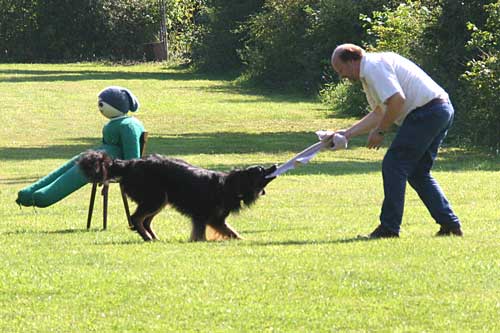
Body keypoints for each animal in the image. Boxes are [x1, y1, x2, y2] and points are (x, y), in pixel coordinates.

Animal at [77, 150, 278, 241]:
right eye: (262, 171)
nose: (275, 165)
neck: (229, 185)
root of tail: (130, 164)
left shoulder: (216, 220)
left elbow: (232, 233)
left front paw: (242, 240)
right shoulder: (203, 216)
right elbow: (201, 234)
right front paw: (199, 242)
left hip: (160, 200)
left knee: (145, 221)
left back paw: (154, 238)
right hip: (155, 197)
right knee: (136, 218)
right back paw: (147, 238)